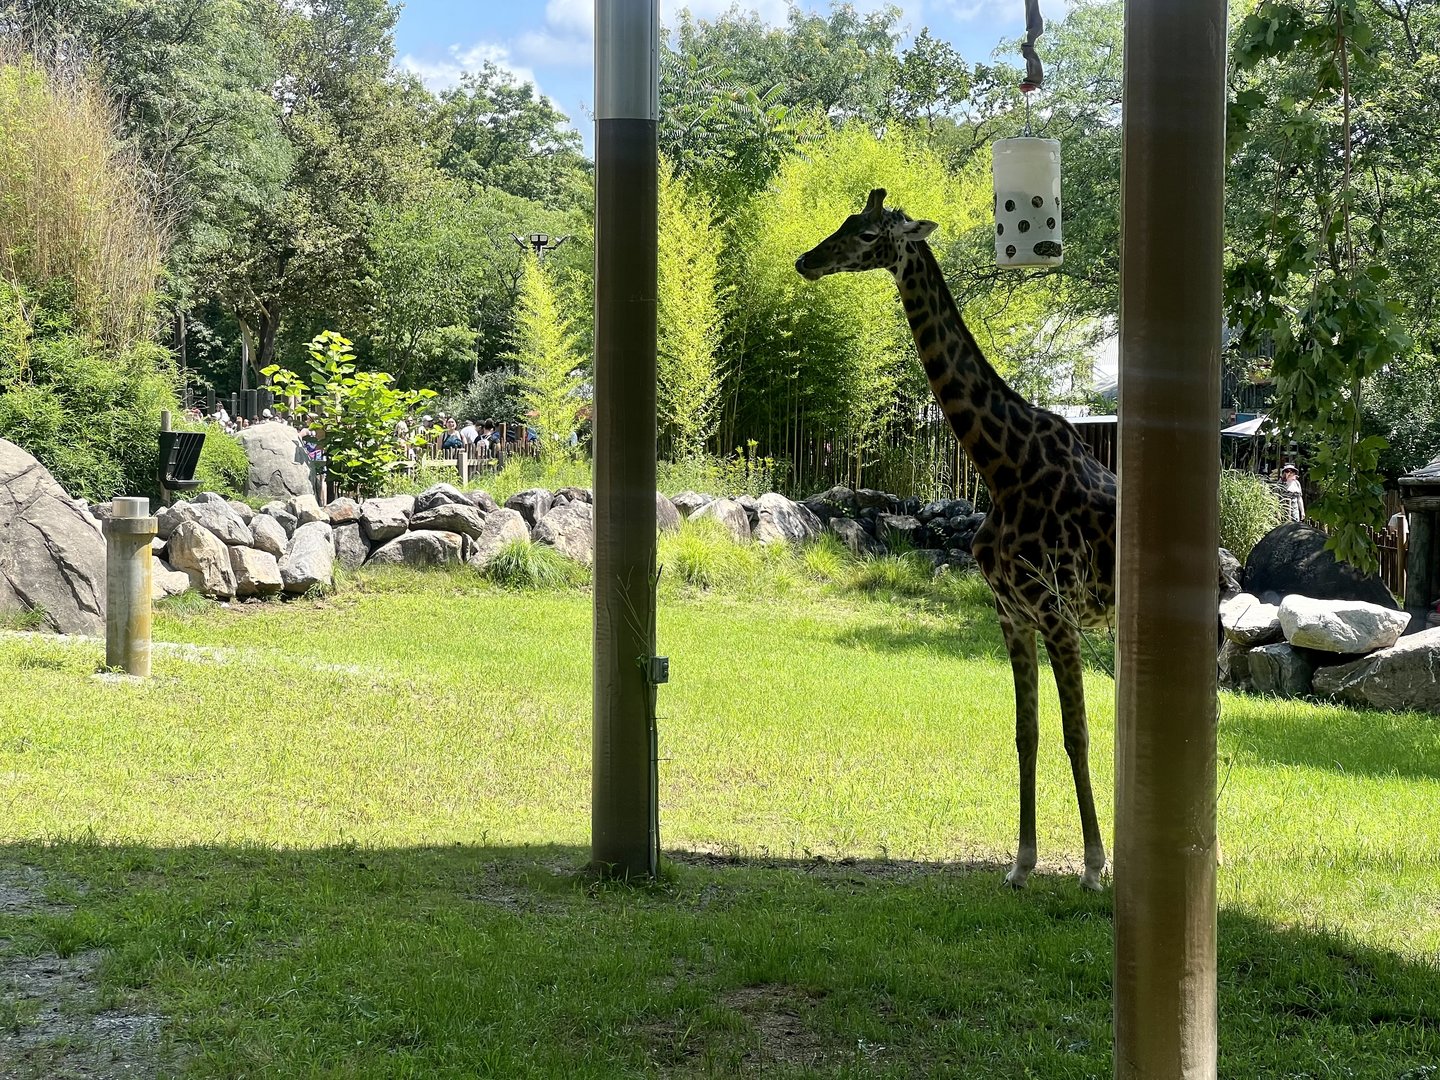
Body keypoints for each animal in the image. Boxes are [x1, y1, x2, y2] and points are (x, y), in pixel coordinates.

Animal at [796, 188, 1116, 891]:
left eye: (868, 234)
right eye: (844, 221)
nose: (807, 260)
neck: (1001, 466)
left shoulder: (1057, 613)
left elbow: (1075, 733)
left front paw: (1092, 867)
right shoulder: (1011, 613)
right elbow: (1026, 733)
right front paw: (1021, 864)